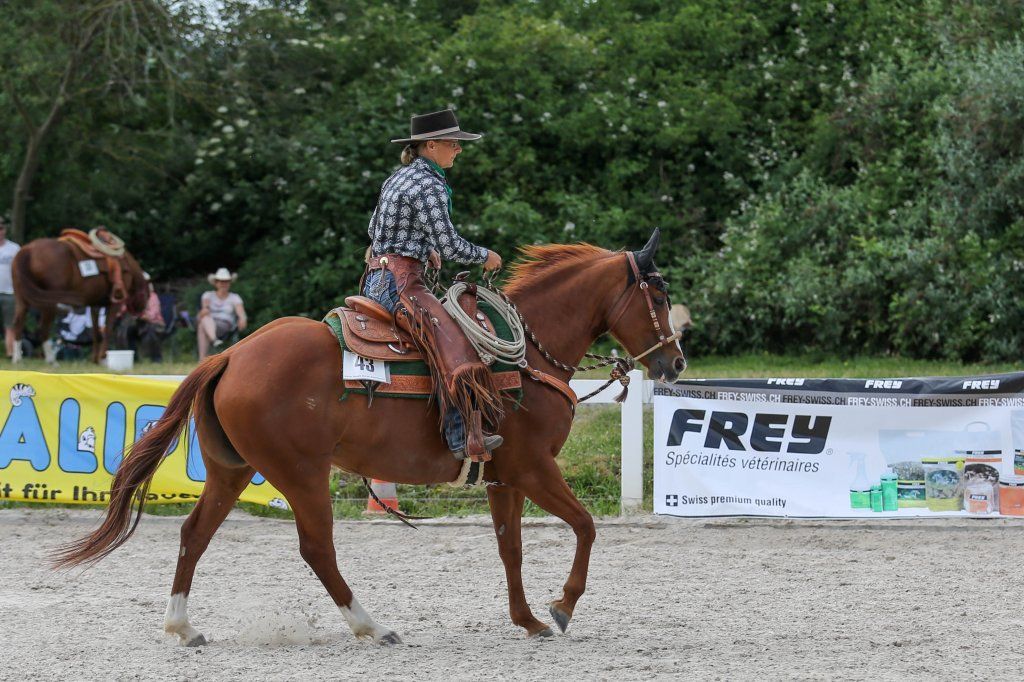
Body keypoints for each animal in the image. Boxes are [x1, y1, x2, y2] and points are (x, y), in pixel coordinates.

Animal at [10, 236, 149, 364]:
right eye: (148, 295)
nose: (141, 313)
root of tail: (28, 249)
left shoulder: (95, 304)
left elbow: (96, 333)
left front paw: (95, 359)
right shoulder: (115, 303)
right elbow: (107, 330)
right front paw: (103, 357)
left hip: (22, 299)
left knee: (18, 325)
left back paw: (17, 358)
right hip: (49, 302)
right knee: (43, 329)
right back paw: (51, 360)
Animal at [54, 230, 686, 645]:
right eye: (658, 297)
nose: (675, 363)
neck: (527, 356)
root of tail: (231, 354)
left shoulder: (503, 476)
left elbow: (511, 547)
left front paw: (527, 619)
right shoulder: (534, 467)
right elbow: (585, 526)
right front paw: (561, 607)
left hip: (231, 470)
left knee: (194, 533)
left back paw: (183, 626)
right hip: (301, 474)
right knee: (316, 548)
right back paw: (372, 625)